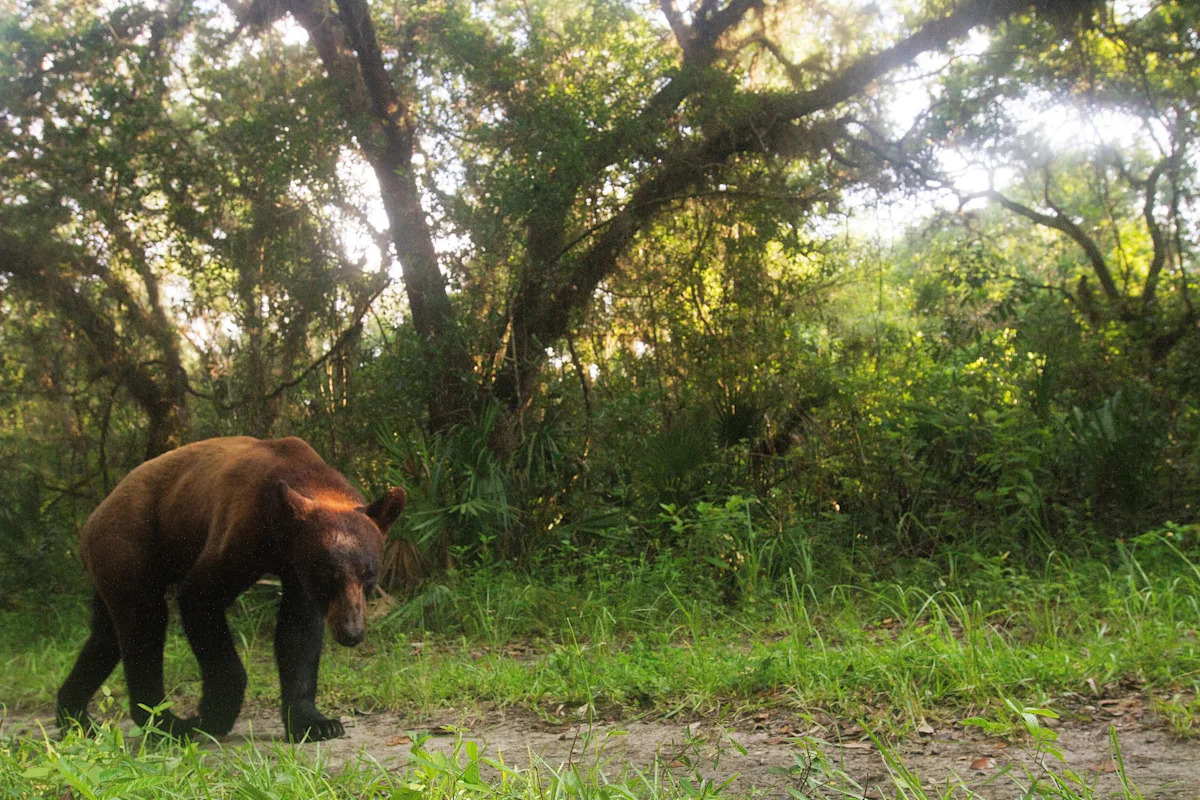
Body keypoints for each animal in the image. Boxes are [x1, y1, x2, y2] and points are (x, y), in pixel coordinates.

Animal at [55, 436, 406, 742]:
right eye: (328, 576)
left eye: (369, 575)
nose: (351, 632)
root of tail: (92, 519)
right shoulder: (241, 527)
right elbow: (200, 597)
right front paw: (213, 713)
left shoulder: (296, 570)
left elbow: (298, 634)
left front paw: (315, 722)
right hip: (130, 542)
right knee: (144, 624)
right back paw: (166, 723)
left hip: (111, 568)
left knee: (105, 637)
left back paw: (75, 717)